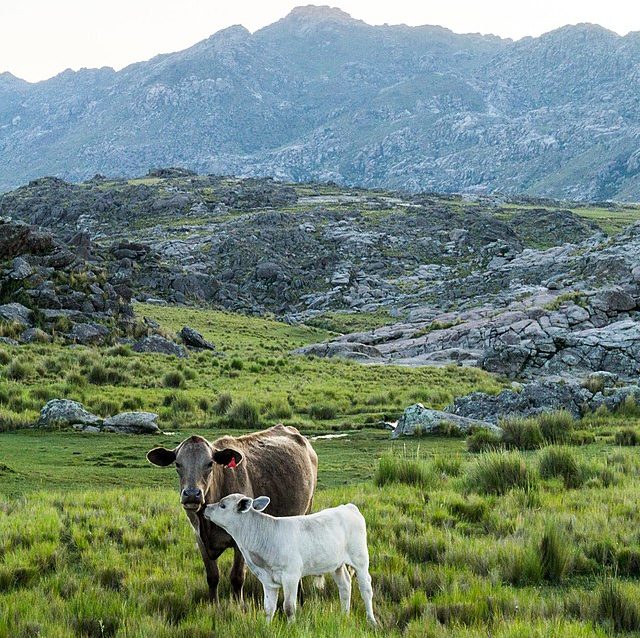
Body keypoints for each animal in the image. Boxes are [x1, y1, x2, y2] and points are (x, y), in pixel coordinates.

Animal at [146, 424, 318, 601]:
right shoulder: (199, 538)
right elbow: (212, 577)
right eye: (178, 464)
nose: (192, 494)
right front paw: (214, 605)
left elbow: (237, 577)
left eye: (210, 464)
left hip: (306, 510)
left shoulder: (240, 541)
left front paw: (238, 606)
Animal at [203, 493, 377, 625]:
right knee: (345, 586)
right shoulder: (268, 580)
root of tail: (347, 507)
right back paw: (344, 615)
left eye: (223, 505)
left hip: (360, 558)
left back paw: (371, 620)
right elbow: (268, 608)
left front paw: (291, 626)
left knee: (366, 589)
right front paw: (267, 627)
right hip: (336, 564)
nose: (205, 508)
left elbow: (288, 607)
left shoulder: (291, 576)